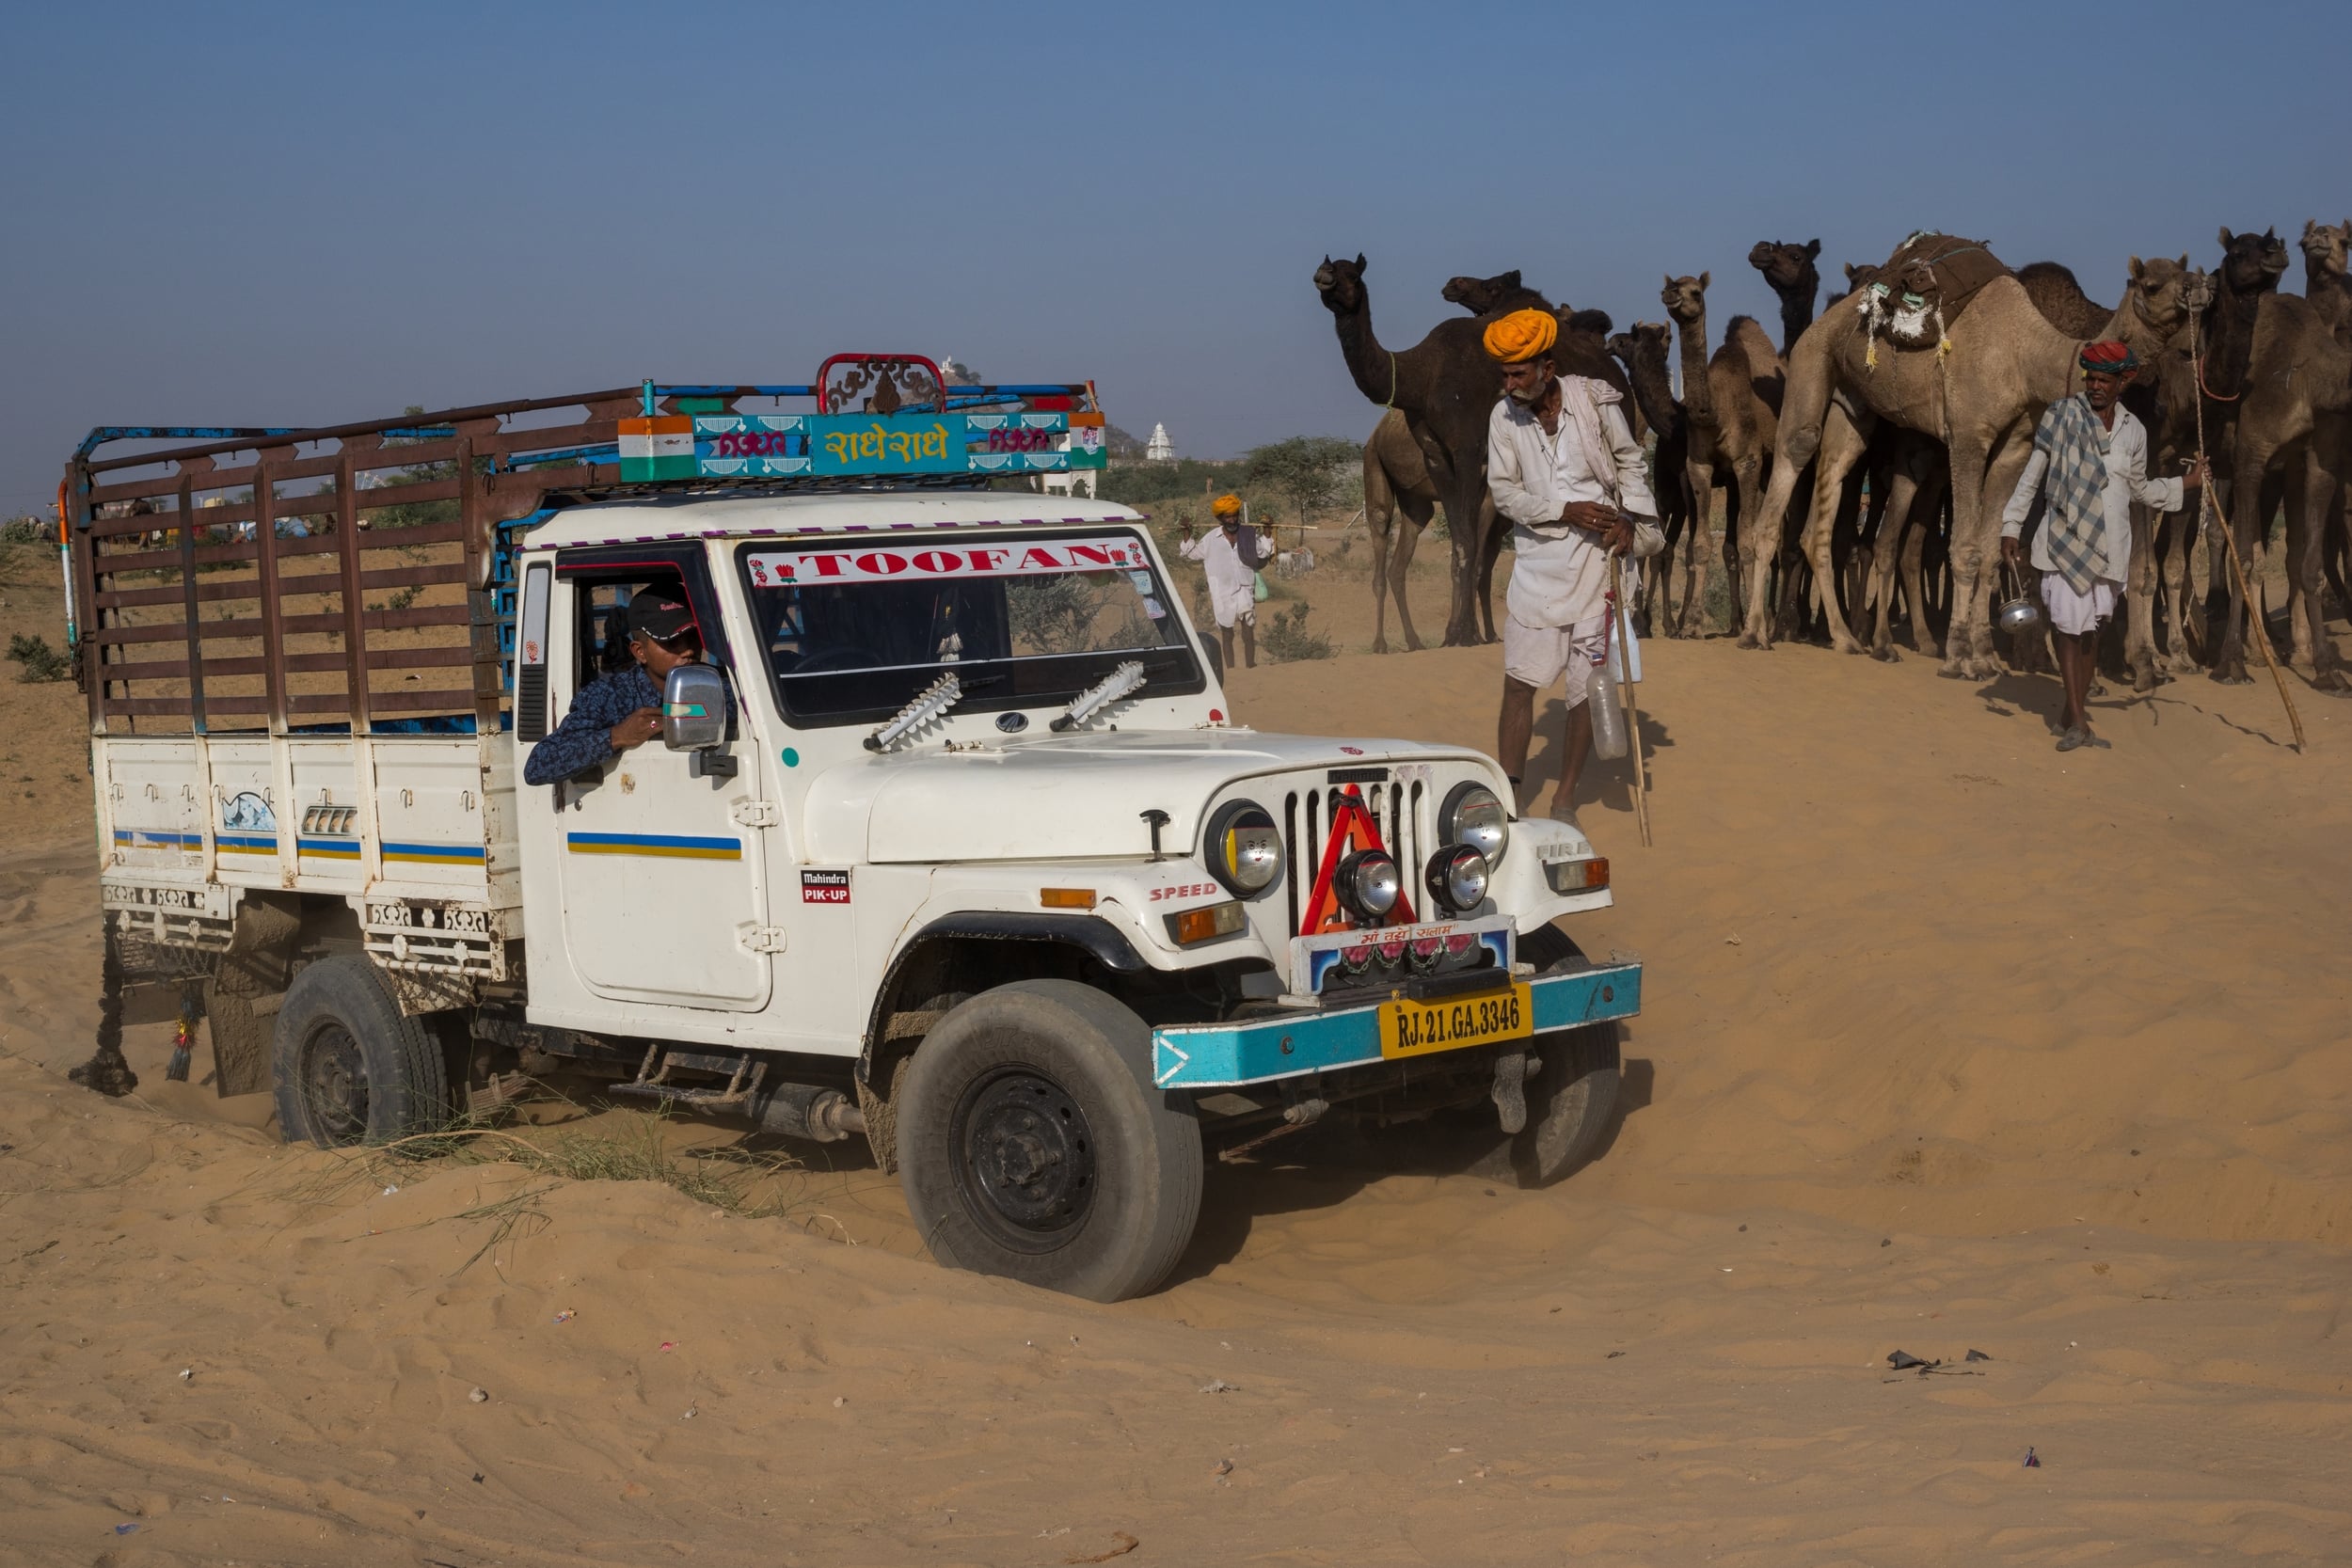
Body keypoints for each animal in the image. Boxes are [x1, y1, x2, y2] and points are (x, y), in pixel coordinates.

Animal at [1317, 255, 1628, 648]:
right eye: (1328, 265)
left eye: (1353, 275)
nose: (1324, 277)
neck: (1423, 376)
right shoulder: (1437, 457)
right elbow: (1462, 545)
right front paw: (1458, 633)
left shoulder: (1467, 450)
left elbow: (1469, 545)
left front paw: (1467, 632)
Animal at [1609, 322, 1703, 634]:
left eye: (1627, 338)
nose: (1610, 342)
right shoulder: (1666, 493)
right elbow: (1660, 554)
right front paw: (1652, 621)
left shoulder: (1688, 488)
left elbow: (1685, 550)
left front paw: (1680, 622)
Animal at [1656, 275, 1778, 639]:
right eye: (1670, 284)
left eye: (1695, 292)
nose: (1670, 294)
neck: (1718, 412)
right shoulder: (1699, 466)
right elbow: (1701, 544)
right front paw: (1693, 624)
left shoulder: (1748, 463)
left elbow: (1749, 542)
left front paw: (1756, 628)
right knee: (1730, 547)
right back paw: (1737, 622)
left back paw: (1768, 623)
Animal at [1740, 251, 2192, 676]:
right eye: (2152, 285)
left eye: (2185, 273)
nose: (2195, 288)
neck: (2025, 353)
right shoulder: (1969, 435)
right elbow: (1966, 548)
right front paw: (1958, 654)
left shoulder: (2016, 445)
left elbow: (1992, 553)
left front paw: (1986, 655)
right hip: (1812, 362)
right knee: (1794, 459)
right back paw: (1754, 633)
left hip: (1853, 402)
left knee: (1828, 490)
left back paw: (1845, 638)